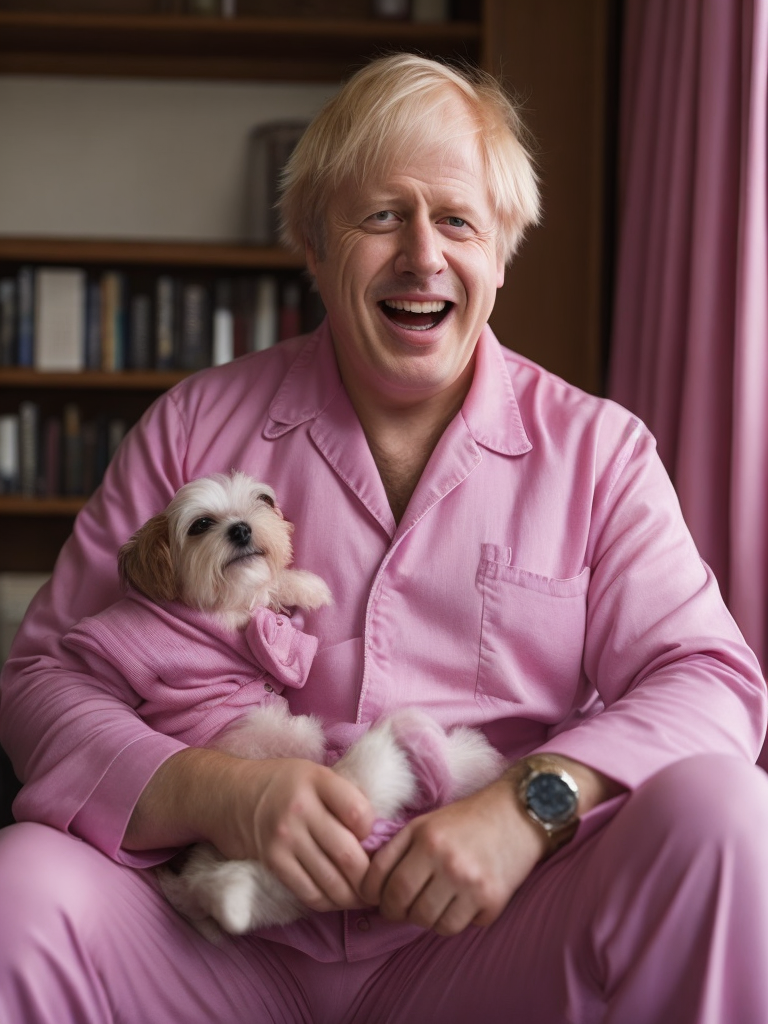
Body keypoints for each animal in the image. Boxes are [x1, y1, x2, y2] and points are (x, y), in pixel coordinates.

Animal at [117, 471, 507, 937]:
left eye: (261, 502)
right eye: (200, 525)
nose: (242, 529)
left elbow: (269, 585)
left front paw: (304, 585)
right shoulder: (237, 621)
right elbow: (260, 598)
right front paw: (296, 588)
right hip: (286, 735)